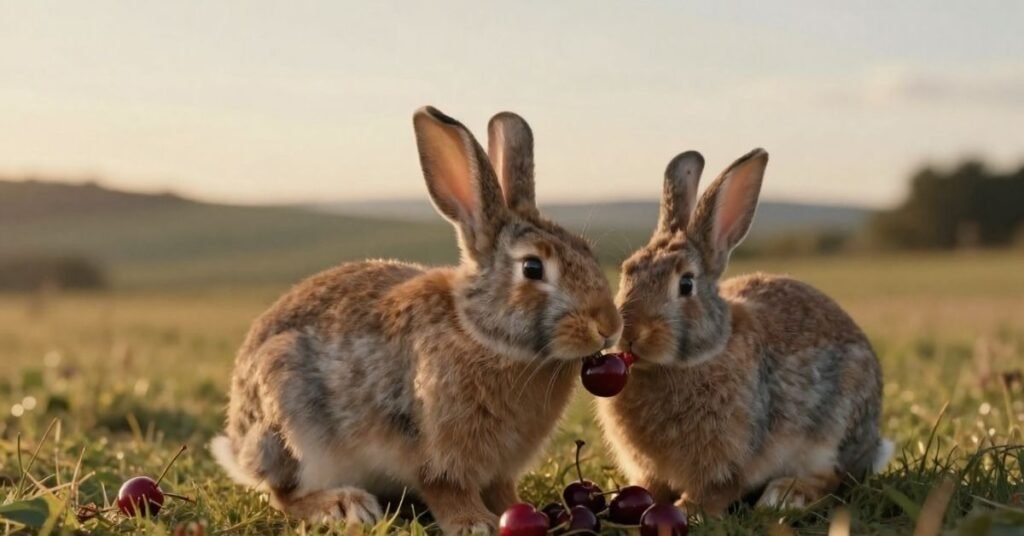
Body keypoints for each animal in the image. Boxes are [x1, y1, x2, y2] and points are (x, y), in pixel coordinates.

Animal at [210, 106, 621, 534]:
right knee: (282, 494)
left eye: (587, 250)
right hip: (291, 420)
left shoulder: (500, 469)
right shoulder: (437, 453)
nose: (608, 326)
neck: (481, 333)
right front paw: (474, 524)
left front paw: (521, 511)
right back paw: (344, 505)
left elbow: (503, 492)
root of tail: (238, 447)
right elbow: (445, 489)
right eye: (533, 267)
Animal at [596, 149, 892, 515]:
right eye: (627, 272)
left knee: (832, 478)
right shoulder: (648, 470)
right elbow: (648, 486)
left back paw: (784, 496)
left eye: (686, 284)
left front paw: (686, 511)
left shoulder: (727, 461)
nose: (630, 333)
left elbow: (713, 492)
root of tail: (873, 444)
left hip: (834, 431)